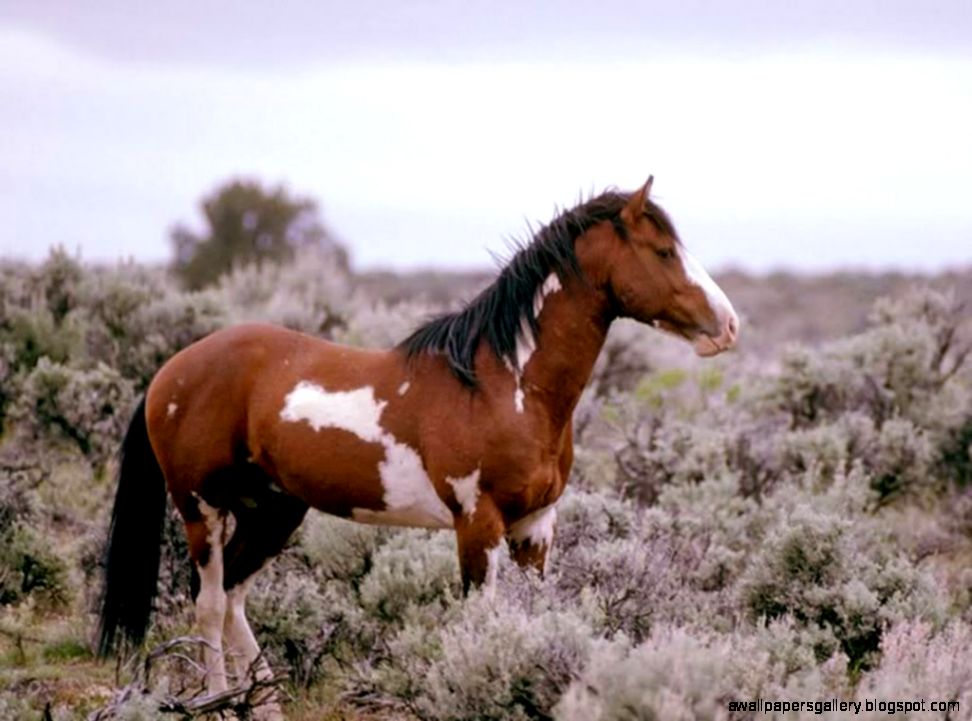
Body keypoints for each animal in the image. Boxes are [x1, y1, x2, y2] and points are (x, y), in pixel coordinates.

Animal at [96, 177, 738, 714]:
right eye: (663, 251)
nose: (728, 325)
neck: (505, 385)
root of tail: (171, 369)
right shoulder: (477, 525)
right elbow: (481, 625)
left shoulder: (536, 526)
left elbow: (534, 620)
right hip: (200, 508)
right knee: (207, 603)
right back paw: (219, 700)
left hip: (273, 511)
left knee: (231, 596)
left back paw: (263, 704)